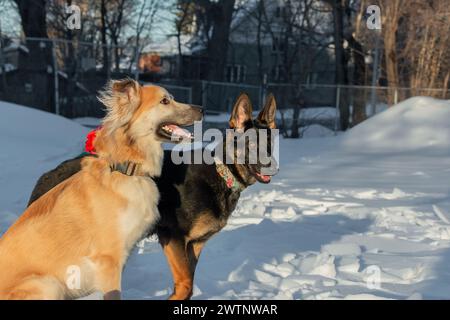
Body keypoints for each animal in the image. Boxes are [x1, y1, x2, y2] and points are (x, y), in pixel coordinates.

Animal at [26, 91, 278, 298]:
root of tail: (48, 175)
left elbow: (188, 281)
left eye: (270, 145)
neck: (222, 171)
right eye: (251, 145)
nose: (273, 167)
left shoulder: (195, 245)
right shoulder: (172, 236)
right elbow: (186, 284)